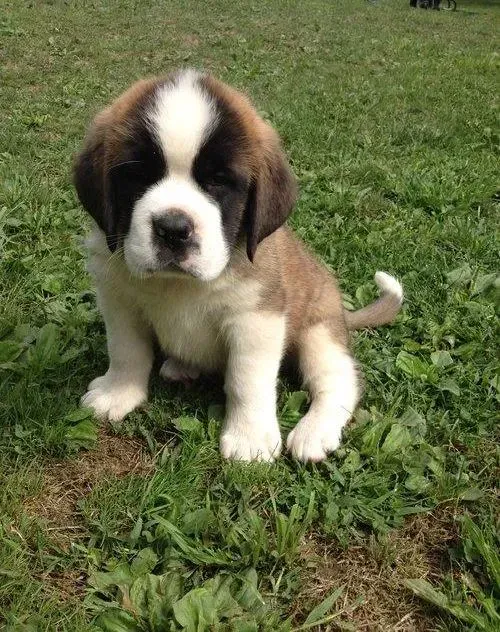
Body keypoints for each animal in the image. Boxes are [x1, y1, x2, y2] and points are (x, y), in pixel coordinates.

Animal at [74, 70, 402, 464]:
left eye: (218, 181)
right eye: (138, 176)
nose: (173, 229)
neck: (179, 285)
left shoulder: (256, 319)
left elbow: (247, 380)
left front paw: (250, 437)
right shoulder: (120, 302)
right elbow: (126, 351)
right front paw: (118, 393)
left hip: (318, 332)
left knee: (338, 379)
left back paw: (315, 430)